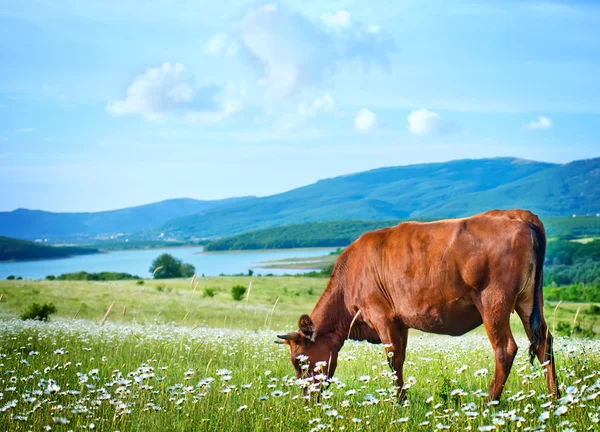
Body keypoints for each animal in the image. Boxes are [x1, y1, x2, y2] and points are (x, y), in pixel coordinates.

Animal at [278, 209, 560, 402]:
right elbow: (400, 359)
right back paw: (554, 397)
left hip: (494, 302)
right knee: (544, 342)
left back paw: (489, 402)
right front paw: (403, 399)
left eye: (300, 361)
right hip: (528, 301)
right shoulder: (399, 322)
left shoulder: (380, 315)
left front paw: (398, 402)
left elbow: (392, 360)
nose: (306, 399)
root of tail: (516, 214)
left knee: (505, 349)